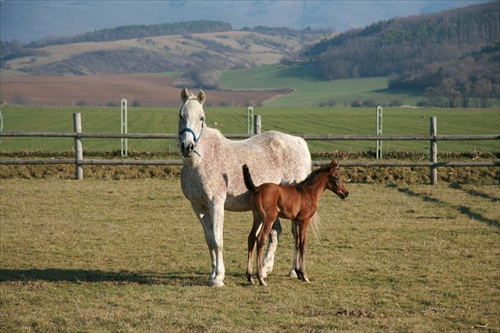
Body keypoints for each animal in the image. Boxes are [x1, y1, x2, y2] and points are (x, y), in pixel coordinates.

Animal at [179, 88, 312, 286]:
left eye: (201, 118)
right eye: (181, 115)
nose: (187, 146)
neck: (200, 162)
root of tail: (298, 141)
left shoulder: (216, 204)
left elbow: (218, 241)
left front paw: (218, 278)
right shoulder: (198, 207)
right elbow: (209, 240)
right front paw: (212, 274)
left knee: (296, 234)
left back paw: (293, 271)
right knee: (276, 233)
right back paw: (265, 269)